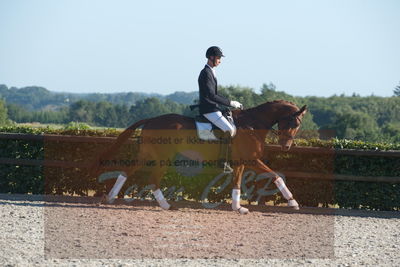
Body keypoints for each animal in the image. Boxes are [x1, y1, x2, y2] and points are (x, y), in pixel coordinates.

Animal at [93, 100, 306, 216]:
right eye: (294, 122)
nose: (286, 146)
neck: (252, 125)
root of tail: (151, 120)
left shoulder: (241, 162)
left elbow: (237, 184)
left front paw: (238, 208)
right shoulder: (251, 160)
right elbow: (276, 176)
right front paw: (293, 202)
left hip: (147, 154)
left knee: (127, 171)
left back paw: (110, 197)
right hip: (163, 157)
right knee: (152, 179)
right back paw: (167, 205)